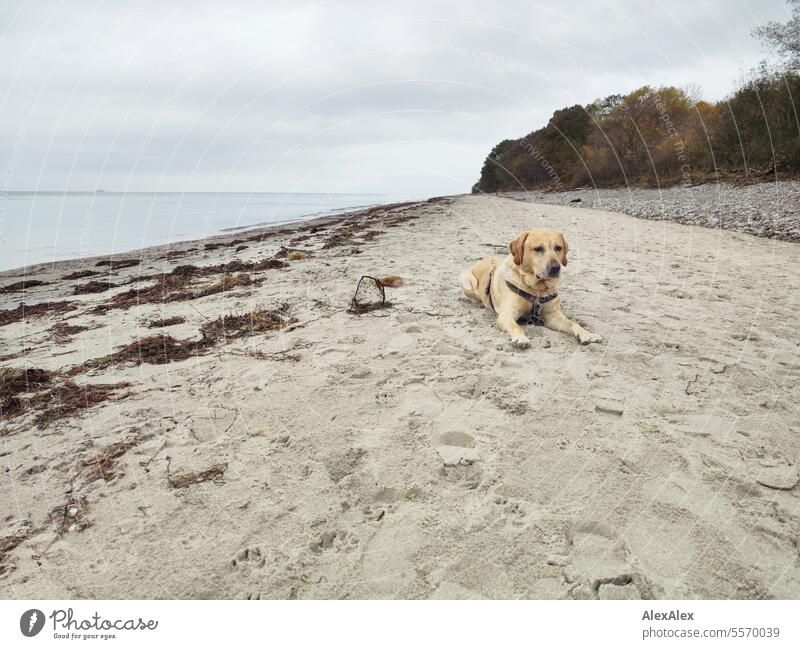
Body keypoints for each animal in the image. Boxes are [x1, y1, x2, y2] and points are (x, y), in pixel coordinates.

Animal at [460, 229, 604, 350]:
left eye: (558, 248)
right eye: (538, 248)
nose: (556, 267)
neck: (536, 290)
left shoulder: (553, 316)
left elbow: (574, 323)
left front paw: (587, 334)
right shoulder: (506, 315)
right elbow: (516, 327)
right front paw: (521, 338)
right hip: (467, 282)